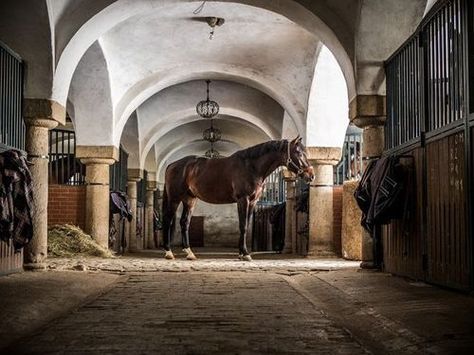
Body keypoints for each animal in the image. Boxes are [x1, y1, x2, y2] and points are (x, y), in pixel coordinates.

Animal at [162, 136, 314, 262]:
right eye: (299, 153)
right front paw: (245, 254)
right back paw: (169, 252)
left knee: (184, 222)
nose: (311, 175)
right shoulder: (243, 199)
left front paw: (241, 253)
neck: (252, 167)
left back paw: (189, 253)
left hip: (190, 200)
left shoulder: (252, 202)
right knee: (168, 221)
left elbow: (245, 224)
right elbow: (243, 226)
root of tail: (172, 165)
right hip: (174, 199)